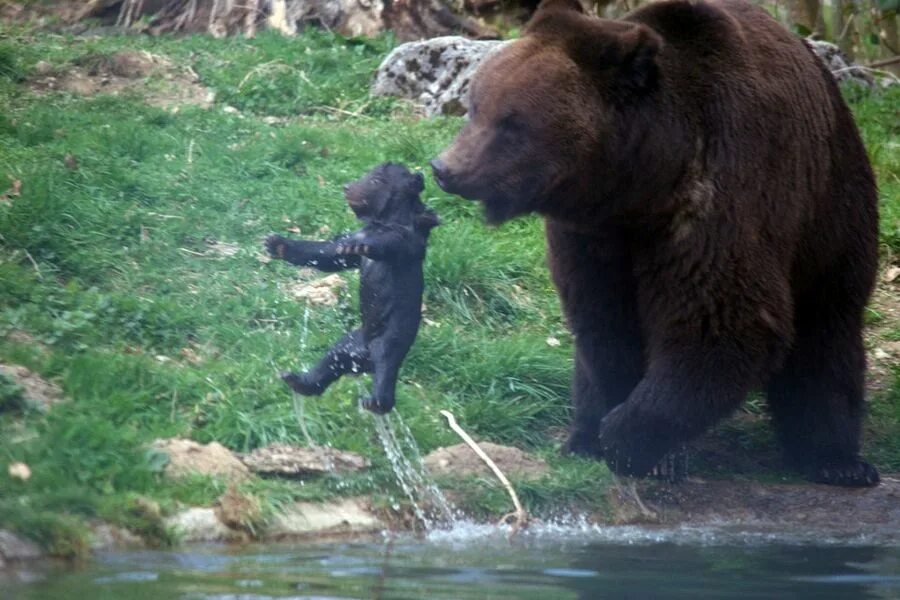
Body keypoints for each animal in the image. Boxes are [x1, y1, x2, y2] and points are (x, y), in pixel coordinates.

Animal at [432, 0, 884, 488]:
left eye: (513, 123)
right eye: (476, 105)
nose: (445, 168)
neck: (643, 185)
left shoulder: (719, 203)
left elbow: (723, 321)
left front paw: (628, 438)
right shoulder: (589, 235)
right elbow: (603, 323)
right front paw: (612, 431)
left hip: (828, 209)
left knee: (826, 332)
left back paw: (836, 459)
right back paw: (580, 436)